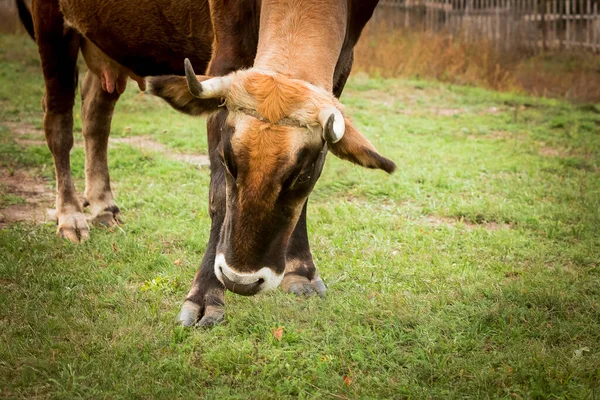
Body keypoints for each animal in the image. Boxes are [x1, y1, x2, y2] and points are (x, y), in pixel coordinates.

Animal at [148, 0, 396, 326]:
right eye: (226, 160)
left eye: (302, 175)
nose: (240, 281)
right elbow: (219, 197)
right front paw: (205, 296)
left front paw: (301, 271)